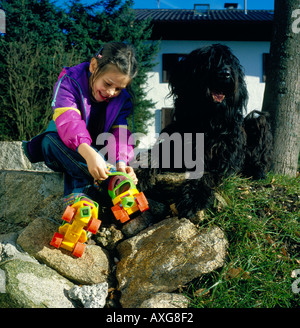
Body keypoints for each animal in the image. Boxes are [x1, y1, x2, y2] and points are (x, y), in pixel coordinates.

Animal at [136, 43, 272, 218]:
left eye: (230, 62)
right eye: (209, 61)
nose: (226, 74)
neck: (207, 121)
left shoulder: (221, 161)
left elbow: (205, 175)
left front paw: (193, 198)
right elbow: (152, 154)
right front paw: (138, 174)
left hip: (257, 121)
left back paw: (257, 172)